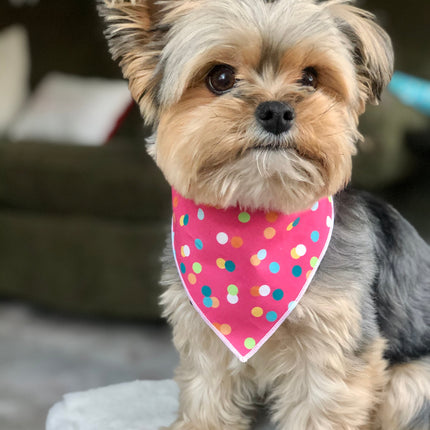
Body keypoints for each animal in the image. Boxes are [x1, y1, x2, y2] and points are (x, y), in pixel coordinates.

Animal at [99, 1, 428, 428]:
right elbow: (206, 401)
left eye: (310, 78)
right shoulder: (207, 345)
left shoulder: (331, 351)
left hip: (412, 382)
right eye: (220, 77)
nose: (276, 111)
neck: (254, 215)